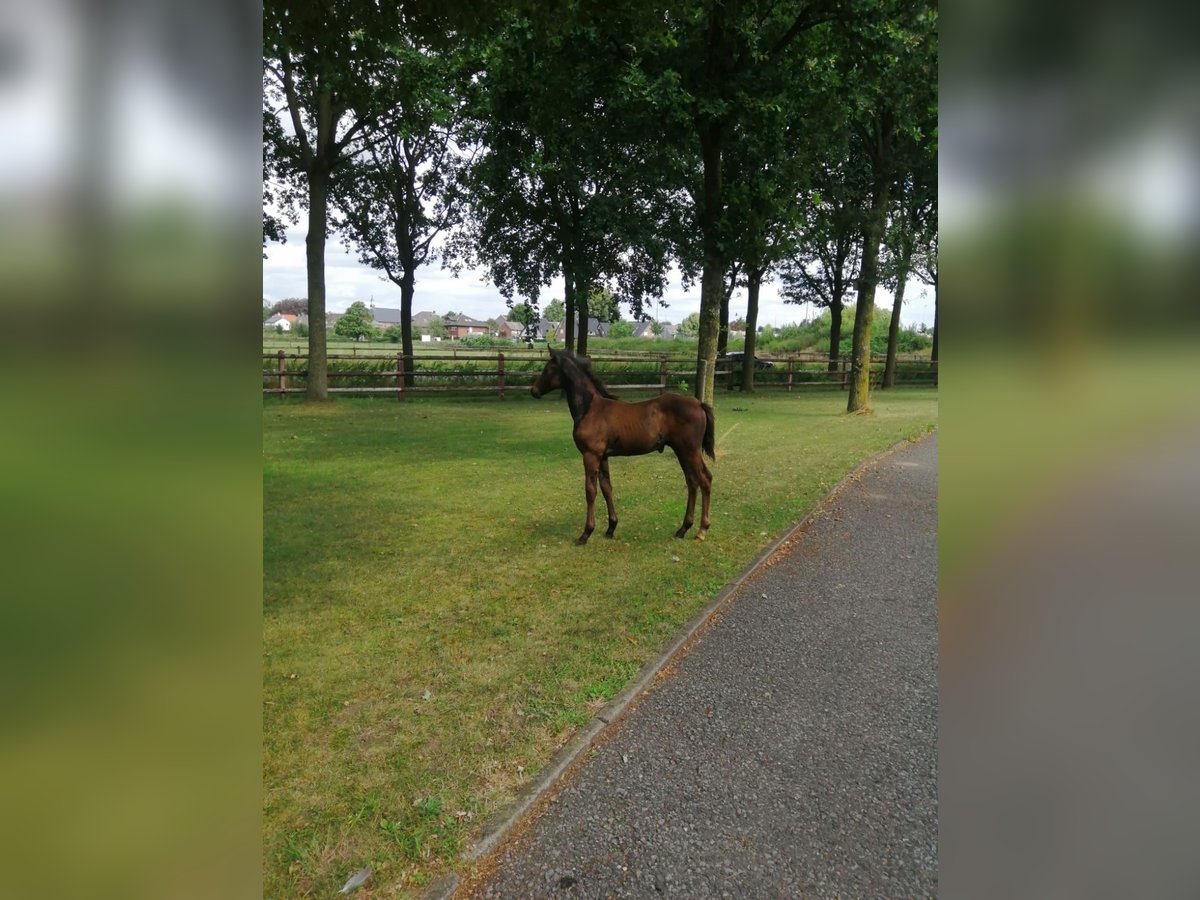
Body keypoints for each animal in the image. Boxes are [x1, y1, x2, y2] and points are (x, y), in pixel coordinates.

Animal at [528, 352, 710, 547]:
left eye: (548, 369)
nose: (534, 390)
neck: (590, 409)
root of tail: (699, 404)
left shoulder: (590, 455)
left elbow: (590, 491)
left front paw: (586, 533)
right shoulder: (603, 456)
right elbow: (606, 487)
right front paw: (611, 528)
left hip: (690, 451)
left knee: (705, 480)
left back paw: (701, 531)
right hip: (682, 451)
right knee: (692, 482)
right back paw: (683, 529)